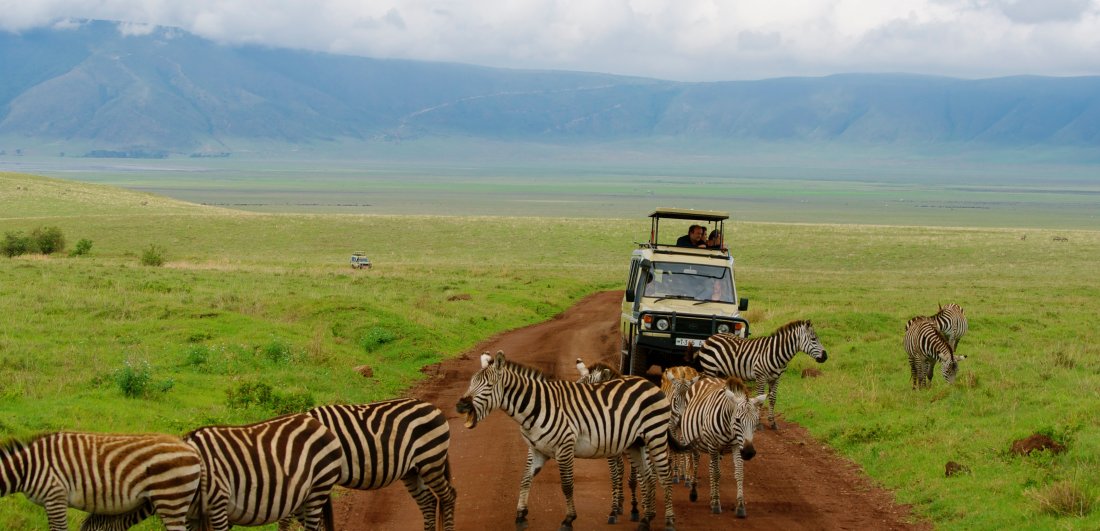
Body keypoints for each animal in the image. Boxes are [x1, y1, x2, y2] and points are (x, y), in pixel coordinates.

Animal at [457, 351, 686, 529]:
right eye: (471, 383)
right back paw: (646, 520)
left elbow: (567, 485)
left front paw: (568, 519)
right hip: (636, 443)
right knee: (648, 477)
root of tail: (649, 383)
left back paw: (669, 521)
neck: (536, 407)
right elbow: (525, 479)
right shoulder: (537, 449)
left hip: (655, 436)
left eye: (488, 385)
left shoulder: (564, 447)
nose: (461, 405)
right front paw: (521, 515)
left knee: (664, 477)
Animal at [677, 373, 765, 518]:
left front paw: (740, 506)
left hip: (718, 450)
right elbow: (716, 474)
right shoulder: (713, 444)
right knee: (696, 462)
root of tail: (708, 378)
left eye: (756, 421)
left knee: (711, 467)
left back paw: (711, 497)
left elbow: (738, 473)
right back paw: (694, 492)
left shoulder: (737, 446)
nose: (749, 452)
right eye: (738, 420)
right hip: (696, 442)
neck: (730, 428)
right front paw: (716, 504)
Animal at [695, 318, 827, 430]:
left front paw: (772, 422)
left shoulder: (776, 378)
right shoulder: (761, 377)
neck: (776, 353)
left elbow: (773, 399)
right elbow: (760, 400)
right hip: (710, 369)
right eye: (814, 339)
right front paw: (758, 424)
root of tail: (712, 337)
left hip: (721, 372)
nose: (825, 357)